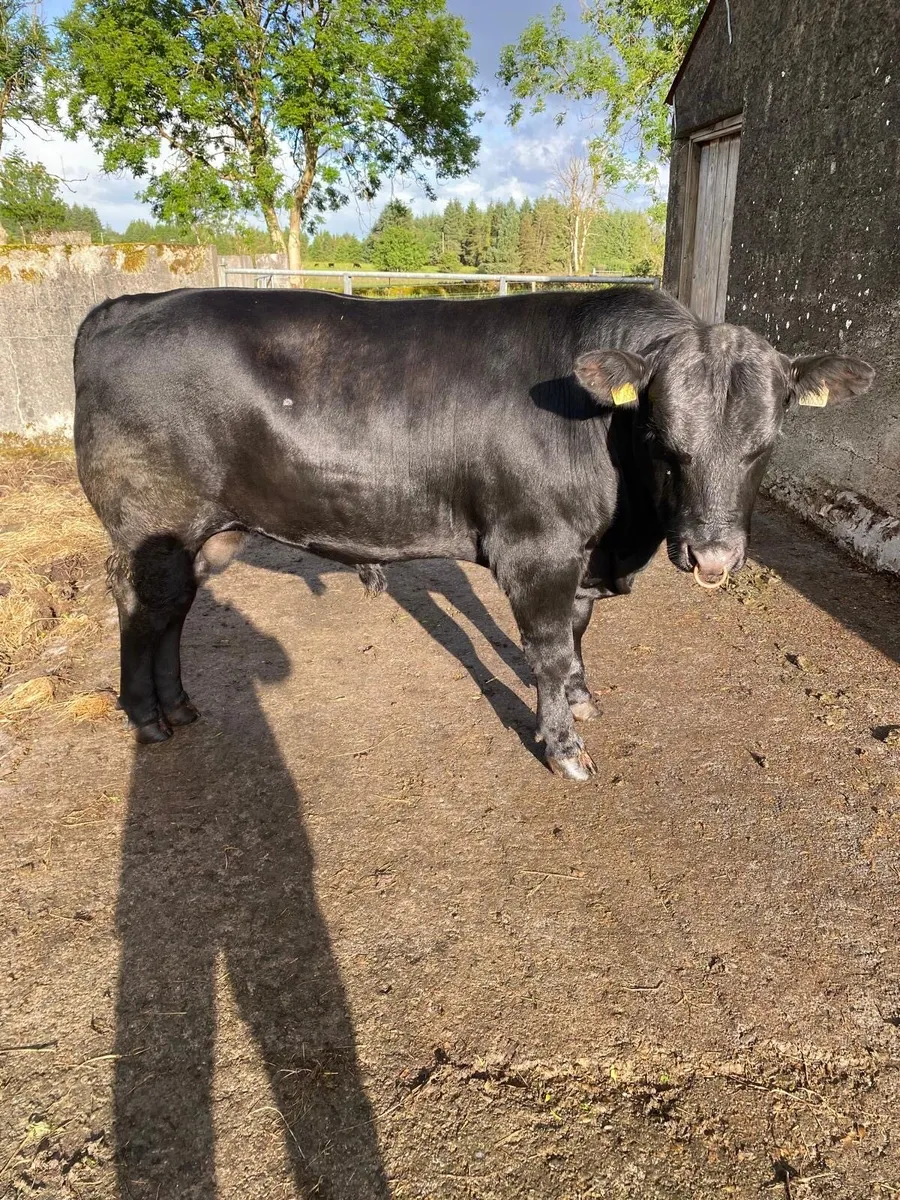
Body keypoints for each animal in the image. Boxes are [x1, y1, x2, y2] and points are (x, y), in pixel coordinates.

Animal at [73, 286, 874, 780]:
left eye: (765, 444)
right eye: (662, 437)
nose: (712, 554)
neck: (623, 533)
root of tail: (127, 306)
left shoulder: (581, 557)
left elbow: (578, 634)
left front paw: (583, 697)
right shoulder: (536, 547)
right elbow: (547, 649)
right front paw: (564, 748)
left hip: (207, 533)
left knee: (175, 609)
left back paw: (178, 705)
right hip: (150, 523)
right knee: (142, 605)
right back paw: (146, 718)